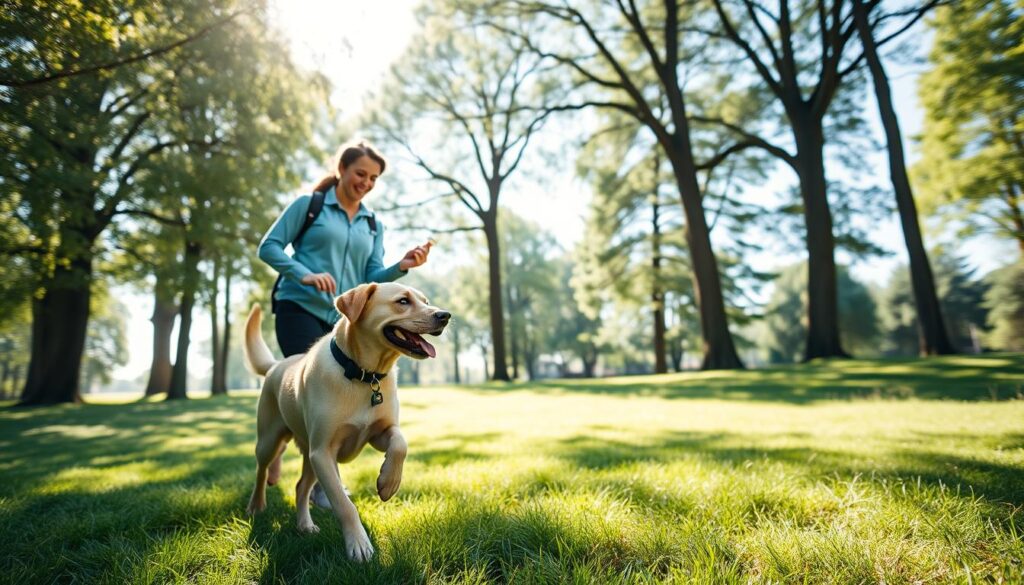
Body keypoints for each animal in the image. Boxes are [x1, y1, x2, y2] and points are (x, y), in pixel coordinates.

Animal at [243, 284, 452, 561]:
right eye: (403, 301)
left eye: (426, 302)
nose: (445, 315)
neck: (363, 375)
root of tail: (276, 365)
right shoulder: (323, 452)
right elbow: (344, 504)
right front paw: (359, 544)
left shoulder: (378, 433)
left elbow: (400, 443)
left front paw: (389, 482)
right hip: (271, 441)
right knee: (262, 470)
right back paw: (257, 505)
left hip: (310, 458)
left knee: (300, 487)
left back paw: (305, 525)